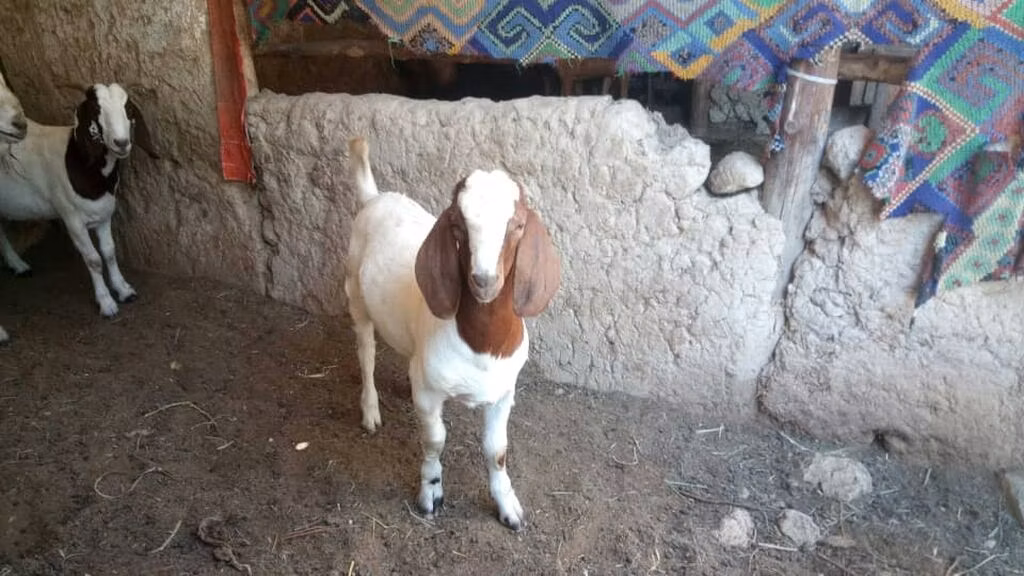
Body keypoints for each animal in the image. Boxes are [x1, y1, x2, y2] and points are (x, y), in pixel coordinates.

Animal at [0, 83, 158, 317]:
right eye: (96, 110)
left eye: (128, 108)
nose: (121, 143)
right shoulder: (72, 219)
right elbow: (94, 260)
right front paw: (106, 303)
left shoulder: (103, 214)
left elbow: (109, 253)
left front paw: (124, 290)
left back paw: (19, 266)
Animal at [345, 138, 560, 530]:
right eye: (458, 226)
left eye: (518, 225)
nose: (484, 280)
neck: (484, 346)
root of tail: (374, 198)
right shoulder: (431, 396)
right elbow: (434, 440)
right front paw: (431, 494)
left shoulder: (504, 393)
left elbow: (497, 450)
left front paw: (508, 506)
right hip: (354, 290)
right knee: (365, 350)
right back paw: (370, 410)